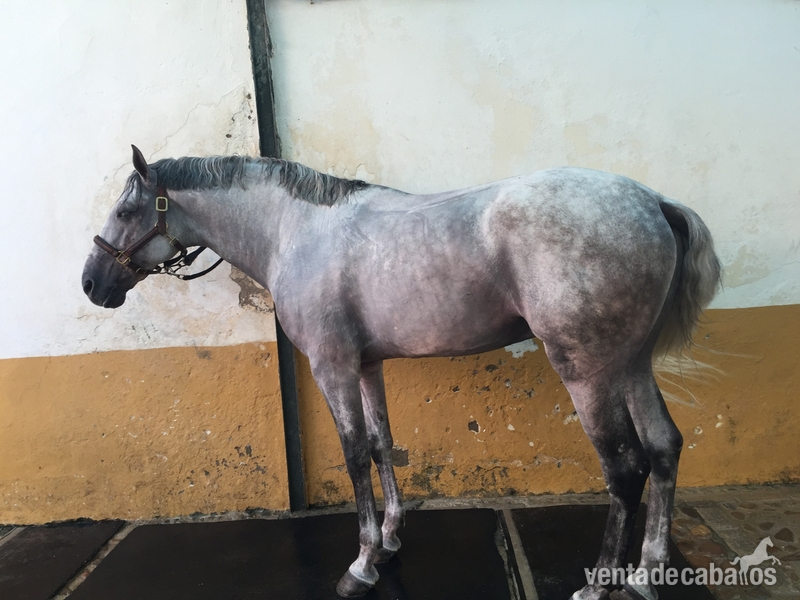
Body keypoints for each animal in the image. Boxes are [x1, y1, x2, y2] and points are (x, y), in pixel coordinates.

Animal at [83, 145, 721, 600]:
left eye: (125, 211)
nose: (91, 283)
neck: (296, 231)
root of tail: (653, 202)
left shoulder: (333, 366)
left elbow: (353, 455)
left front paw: (361, 564)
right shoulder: (367, 366)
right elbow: (383, 445)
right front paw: (389, 541)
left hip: (587, 371)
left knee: (626, 468)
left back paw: (600, 585)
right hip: (630, 364)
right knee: (664, 447)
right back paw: (645, 577)